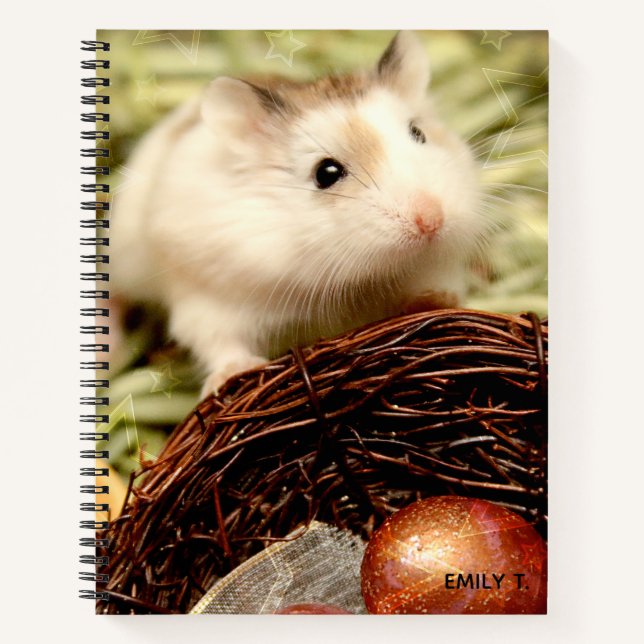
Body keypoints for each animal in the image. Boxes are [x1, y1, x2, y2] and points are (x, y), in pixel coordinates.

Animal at [111, 31, 487, 395]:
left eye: (418, 133)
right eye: (326, 173)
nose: (431, 221)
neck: (358, 277)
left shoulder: (434, 267)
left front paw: (435, 301)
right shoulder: (208, 299)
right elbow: (221, 344)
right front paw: (233, 375)